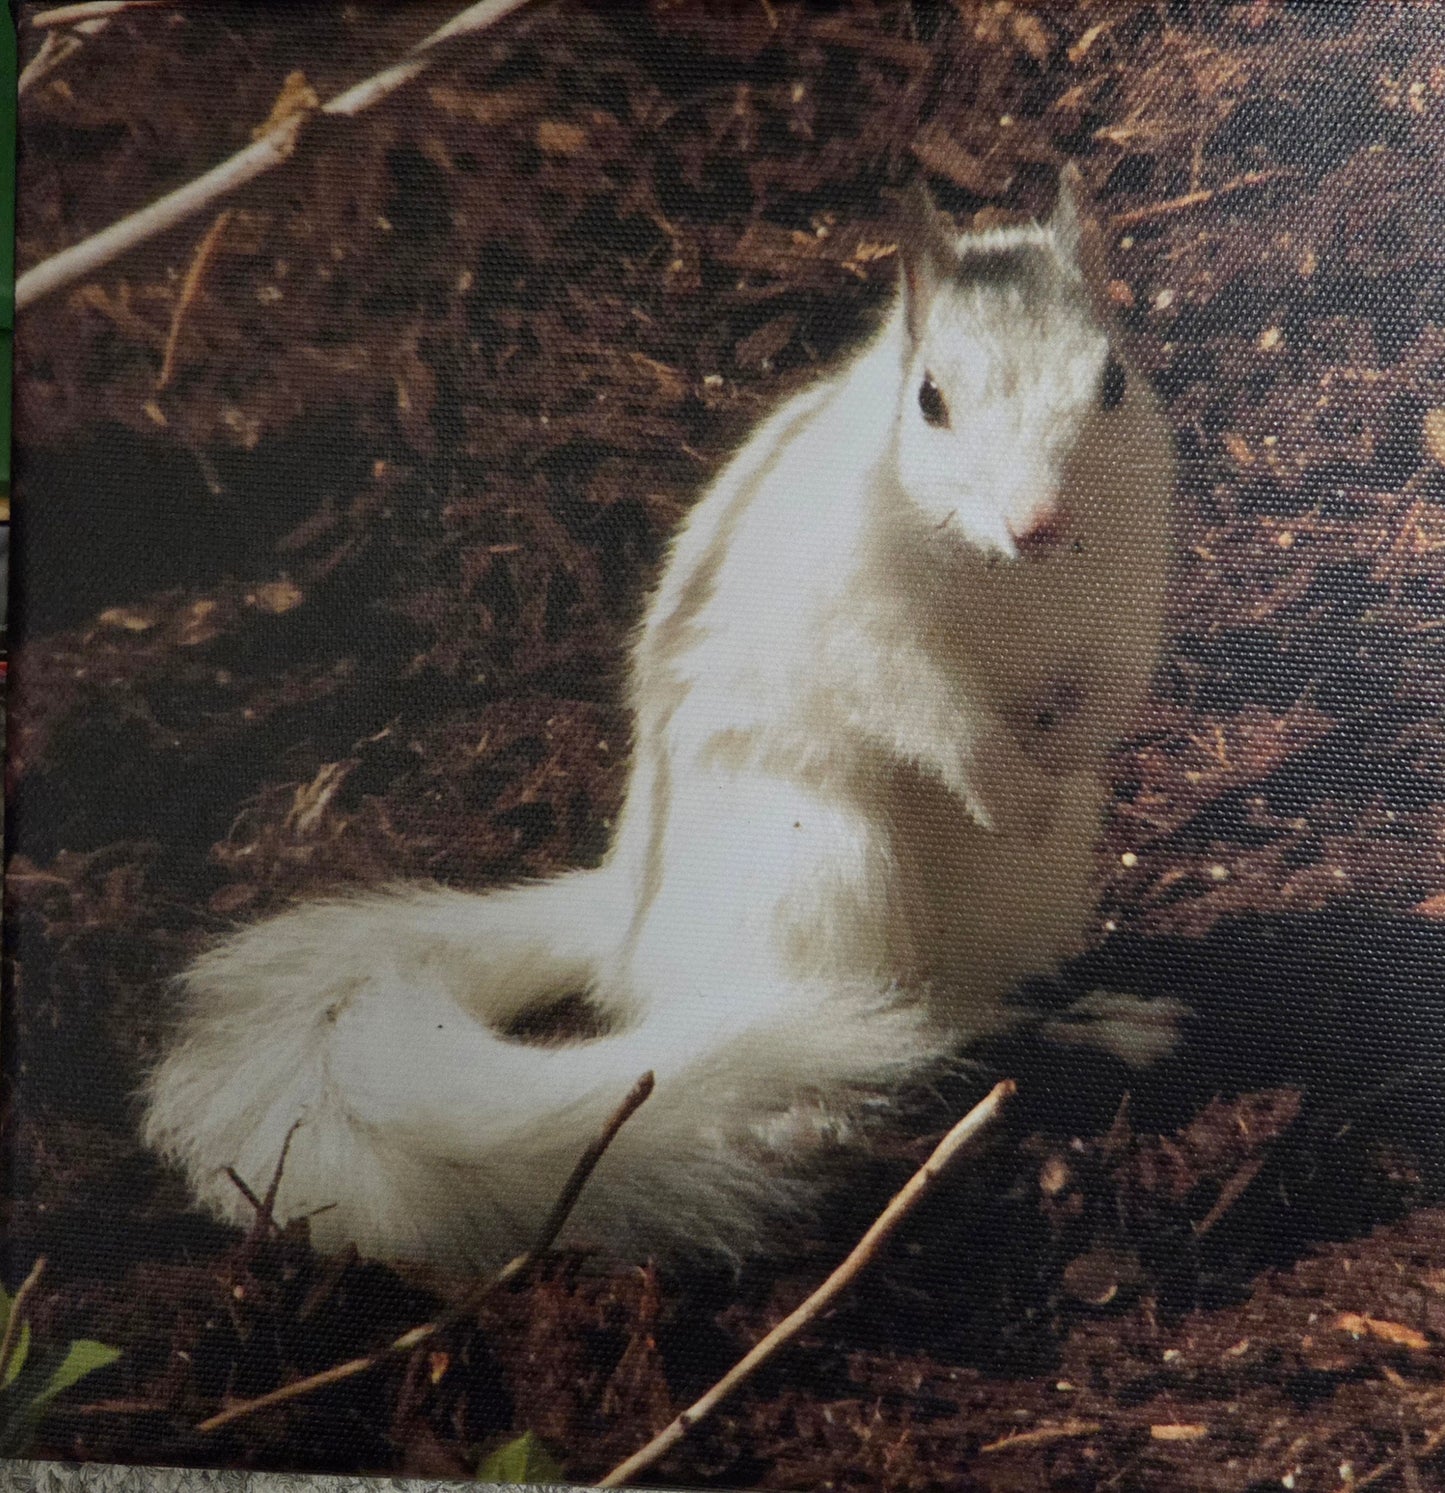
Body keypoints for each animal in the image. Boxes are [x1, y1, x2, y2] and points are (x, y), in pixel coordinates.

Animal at [142, 167, 1177, 1271]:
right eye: (929, 400)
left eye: (1112, 380)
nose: (1038, 522)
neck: (1003, 570)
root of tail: (625, 921)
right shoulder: (858, 616)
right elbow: (920, 703)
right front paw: (1002, 779)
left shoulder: (1129, 582)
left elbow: (1117, 678)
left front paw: (1062, 750)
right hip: (819, 868)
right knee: (880, 1016)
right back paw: (810, 1107)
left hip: (1024, 888)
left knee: (973, 1000)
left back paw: (1097, 1021)